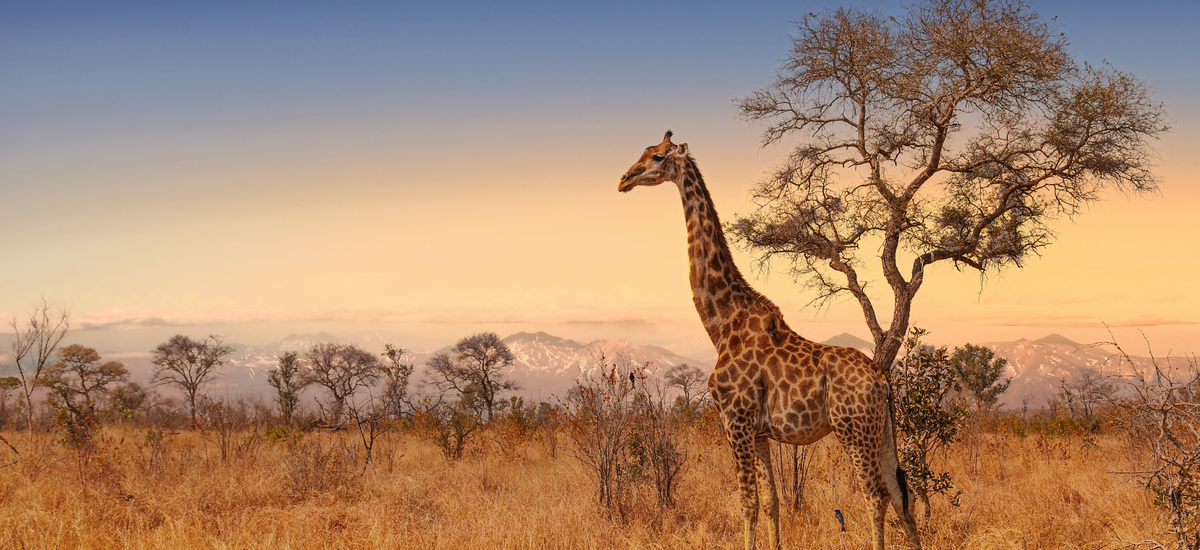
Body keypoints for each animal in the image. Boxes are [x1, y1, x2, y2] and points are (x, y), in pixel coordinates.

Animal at [619, 132, 916, 550]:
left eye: (657, 157)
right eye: (644, 153)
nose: (624, 179)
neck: (722, 324)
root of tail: (882, 379)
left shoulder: (735, 420)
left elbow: (748, 503)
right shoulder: (759, 432)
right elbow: (772, 500)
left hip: (853, 429)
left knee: (876, 495)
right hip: (884, 430)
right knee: (902, 494)